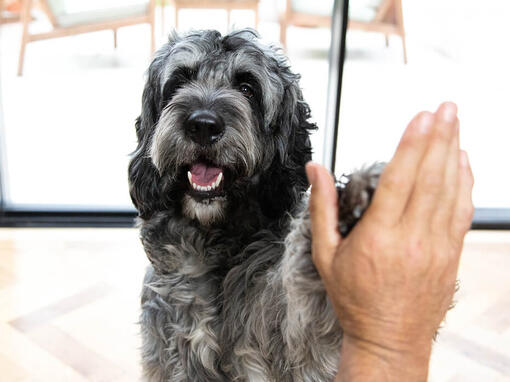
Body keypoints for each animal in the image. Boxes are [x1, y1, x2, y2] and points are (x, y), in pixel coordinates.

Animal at [127, 28, 382, 380]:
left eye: (247, 88)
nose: (202, 125)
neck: (215, 242)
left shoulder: (295, 348)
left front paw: (347, 207)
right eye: (179, 80)